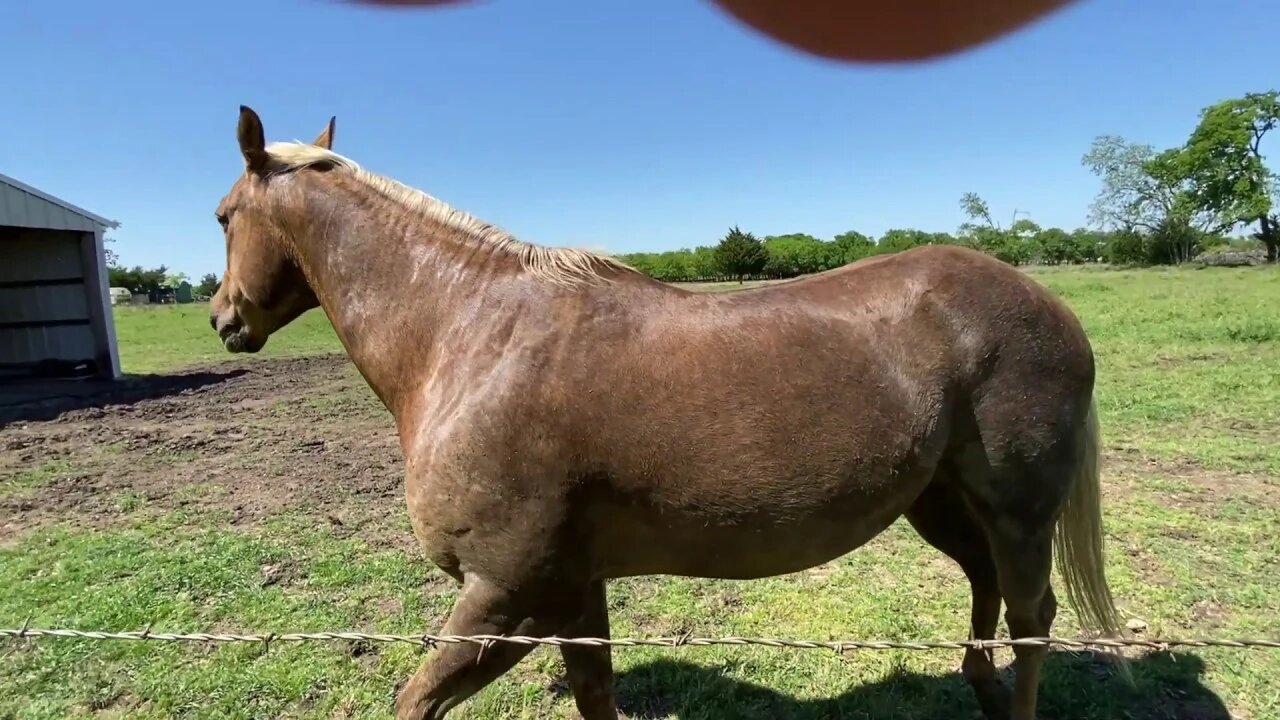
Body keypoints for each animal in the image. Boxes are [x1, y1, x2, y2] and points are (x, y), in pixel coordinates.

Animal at [207, 107, 1121, 717]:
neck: (471, 335)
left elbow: (418, 698)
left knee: (1032, 616)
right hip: (939, 503)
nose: (223, 319)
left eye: (222, 217)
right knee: (986, 585)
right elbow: (593, 692)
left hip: (1017, 511)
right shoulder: (575, 590)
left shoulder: (507, 594)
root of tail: (1050, 305)